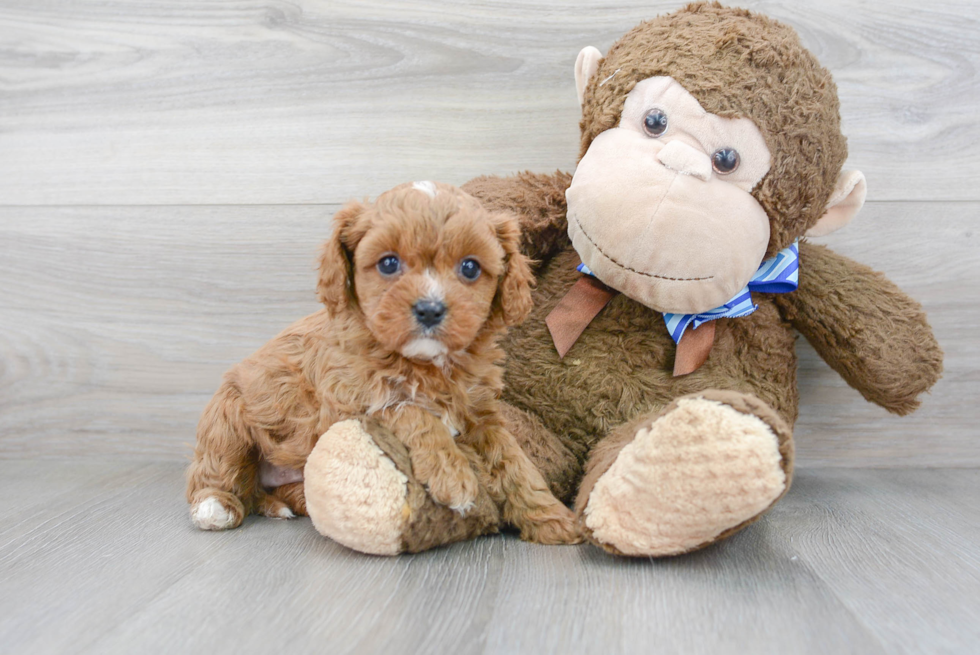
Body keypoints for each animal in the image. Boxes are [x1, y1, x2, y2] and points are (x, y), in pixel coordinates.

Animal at [188, 182, 580, 544]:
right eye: (389, 263)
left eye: (470, 267)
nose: (430, 309)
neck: (426, 364)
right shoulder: (348, 400)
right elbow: (410, 410)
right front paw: (453, 476)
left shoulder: (481, 414)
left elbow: (515, 464)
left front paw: (551, 518)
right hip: (226, 420)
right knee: (215, 468)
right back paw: (215, 505)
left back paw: (290, 502)